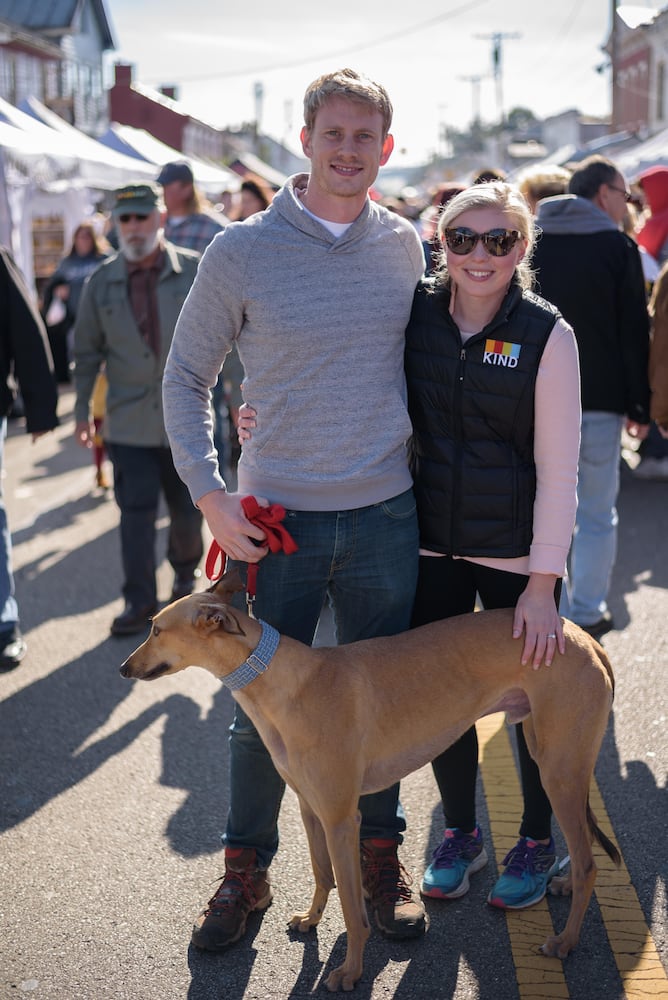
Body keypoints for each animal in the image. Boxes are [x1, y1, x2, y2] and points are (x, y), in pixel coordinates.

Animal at [121, 572, 620, 992]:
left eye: (157, 629)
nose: (124, 669)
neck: (287, 681)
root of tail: (579, 636)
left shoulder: (342, 817)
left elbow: (351, 906)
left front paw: (350, 972)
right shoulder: (310, 807)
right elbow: (323, 874)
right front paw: (310, 920)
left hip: (557, 767)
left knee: (588, 862)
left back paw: (565, 941)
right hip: (553, 757)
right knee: (583, 850)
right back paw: (563, 885)